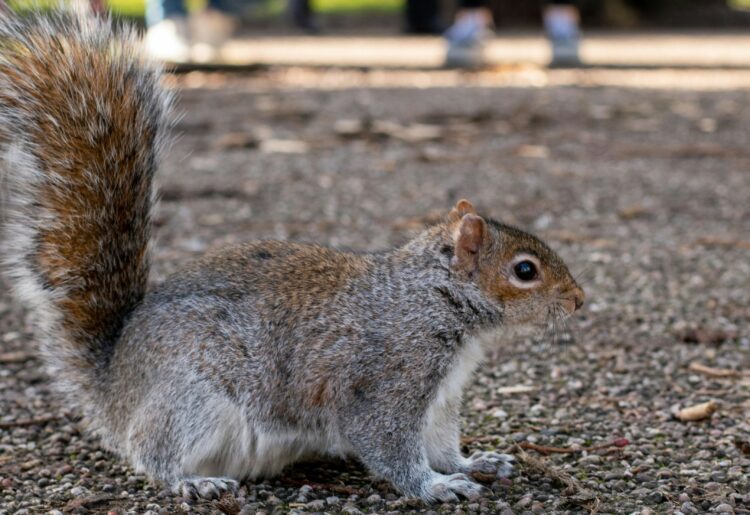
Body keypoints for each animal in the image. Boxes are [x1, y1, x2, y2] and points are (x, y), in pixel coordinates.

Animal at [0, 9, 584, 503]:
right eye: (525, 271)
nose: (579, 301)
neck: (430, 297)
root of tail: (114, 388)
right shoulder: (387, 380)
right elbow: (389, 446)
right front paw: (435, 487)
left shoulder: (441, 398)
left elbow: (440, 443)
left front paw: (471, 463)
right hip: (190, 400)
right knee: (151, 452)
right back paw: (192, 481)